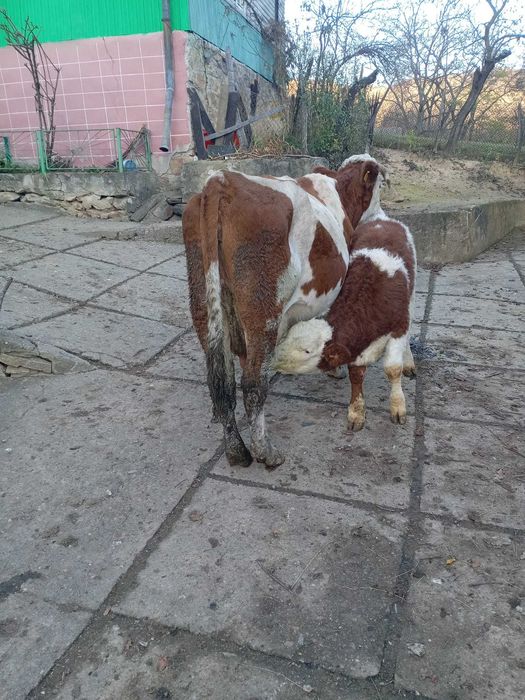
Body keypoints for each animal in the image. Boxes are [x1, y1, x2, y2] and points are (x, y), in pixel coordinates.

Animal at [182, 155, 387, 468]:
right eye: (380, 187)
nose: (382, 216)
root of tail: (223, 180)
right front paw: (336, 368)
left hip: (204, 302)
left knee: (224, 382)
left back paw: (236, 450)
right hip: (264, 307)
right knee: (252, 384)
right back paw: (265, 451)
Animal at [272, 206, 417, 431]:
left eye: (307, 351)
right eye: (287, 336)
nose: (274, 359)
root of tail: (381, 219)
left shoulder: (398, 326)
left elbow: (393, 369)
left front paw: (398, 407)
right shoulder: (355, 347)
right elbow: (356, 375)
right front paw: (356, 413)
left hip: (412, 297)